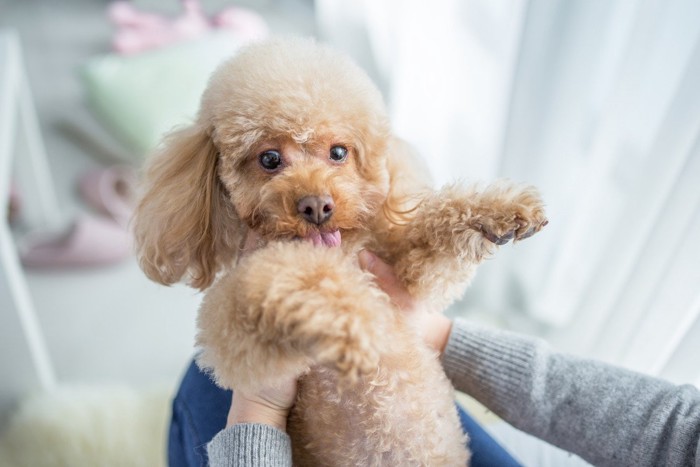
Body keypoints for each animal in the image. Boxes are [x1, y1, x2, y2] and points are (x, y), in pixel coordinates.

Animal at [131, 37, 548, 467]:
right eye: (269, 159)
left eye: (338, 153)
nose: (317, 206)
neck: (337, 254)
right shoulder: (232, 340)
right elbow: (273, 277)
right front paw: (348, 323)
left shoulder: (409, 275)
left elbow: (432, 238)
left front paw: (500, 213)